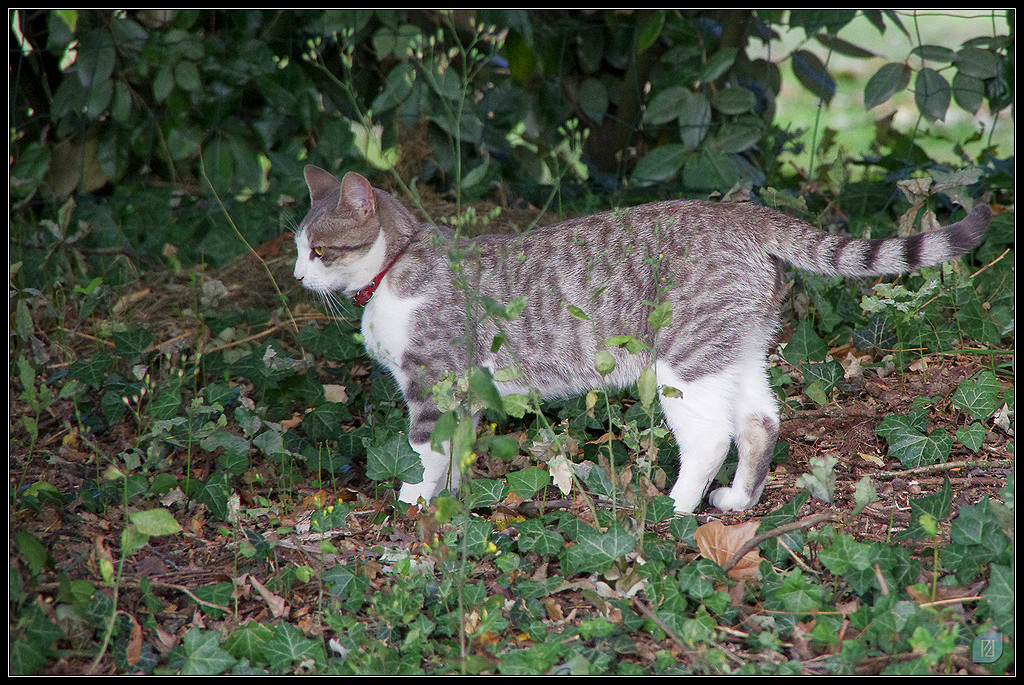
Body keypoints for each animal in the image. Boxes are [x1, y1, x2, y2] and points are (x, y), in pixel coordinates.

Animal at [290, 163, 991, 511]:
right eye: (297, 247)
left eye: (319, 250)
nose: (297, 274)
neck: (393, 269)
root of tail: (739, 214)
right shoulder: (463, 394)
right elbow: (456, 455)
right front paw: (453, 503)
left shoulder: (432, 384)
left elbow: (421, 456)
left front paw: (413, 506)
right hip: (734, 350)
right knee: (761, 421)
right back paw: (737, 500)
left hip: (686, 363)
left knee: (711, 438)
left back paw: (676, 509)